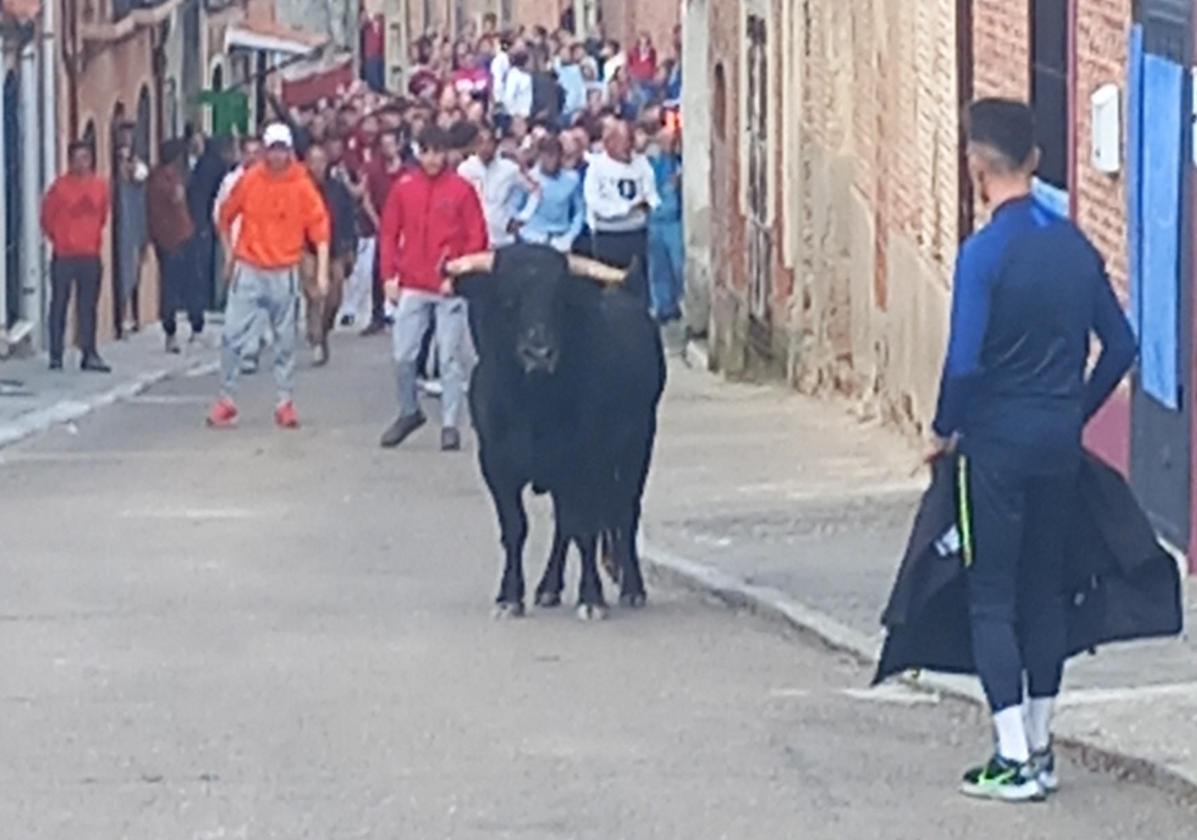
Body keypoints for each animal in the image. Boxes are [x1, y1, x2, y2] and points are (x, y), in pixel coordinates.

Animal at [450, 241, 670, 617]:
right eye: (508, 299)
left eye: (559, 300)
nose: (538, 354)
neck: (532, 407)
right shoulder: (495, 464)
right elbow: (515, 527)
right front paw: (510, 596)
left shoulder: (584, 462)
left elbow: (587, 530)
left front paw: (592, 598)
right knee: (565, 523)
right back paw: (548, 588)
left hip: (638, 445)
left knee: (624, 511)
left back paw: (632, 589)